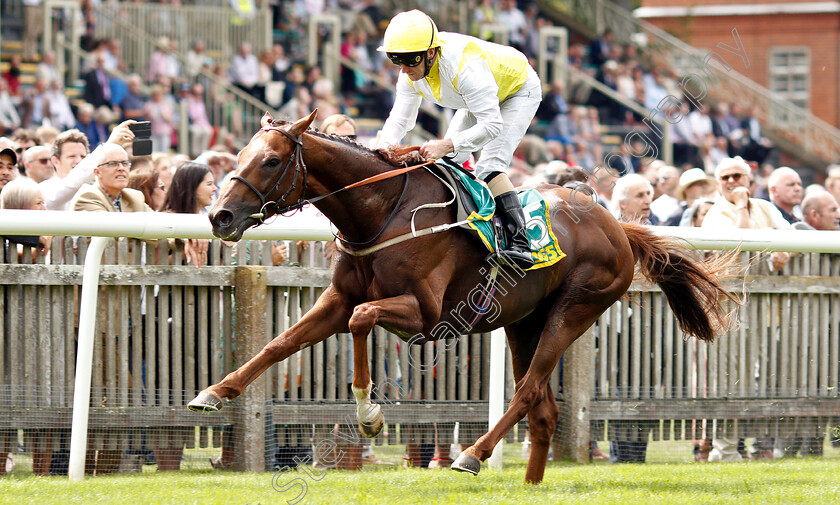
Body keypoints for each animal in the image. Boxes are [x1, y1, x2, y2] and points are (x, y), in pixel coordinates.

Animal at [189, 112, 736, 482]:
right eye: (237, 157)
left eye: (271, 160)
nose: (219, 216)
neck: (382, 212)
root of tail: (618, 225)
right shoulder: (337, 300)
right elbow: (279, 343)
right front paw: (213, 392)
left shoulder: (426, 315)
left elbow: (363, 319)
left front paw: (369, 415)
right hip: (523, 321)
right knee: (544, 410)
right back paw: (529, 483)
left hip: (575, 309)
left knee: (528, 392)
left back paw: (472, 454)